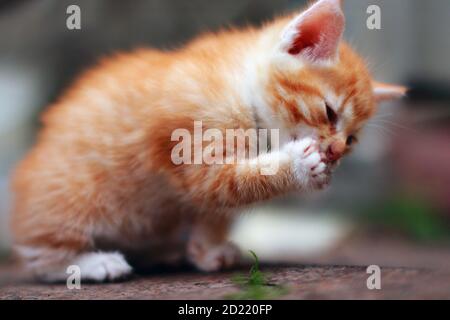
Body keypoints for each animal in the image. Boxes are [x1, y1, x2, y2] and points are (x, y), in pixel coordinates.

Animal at [10, 0, 404, 282]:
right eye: (329, 112)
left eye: (352, 139)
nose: (335, 151)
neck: (242, 91)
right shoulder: (190, 145)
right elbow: (226, 183)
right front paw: (300, 166)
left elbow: (216, 208)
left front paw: (207, 248)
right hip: (77, 198)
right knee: (36, 256)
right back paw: (93, 264)